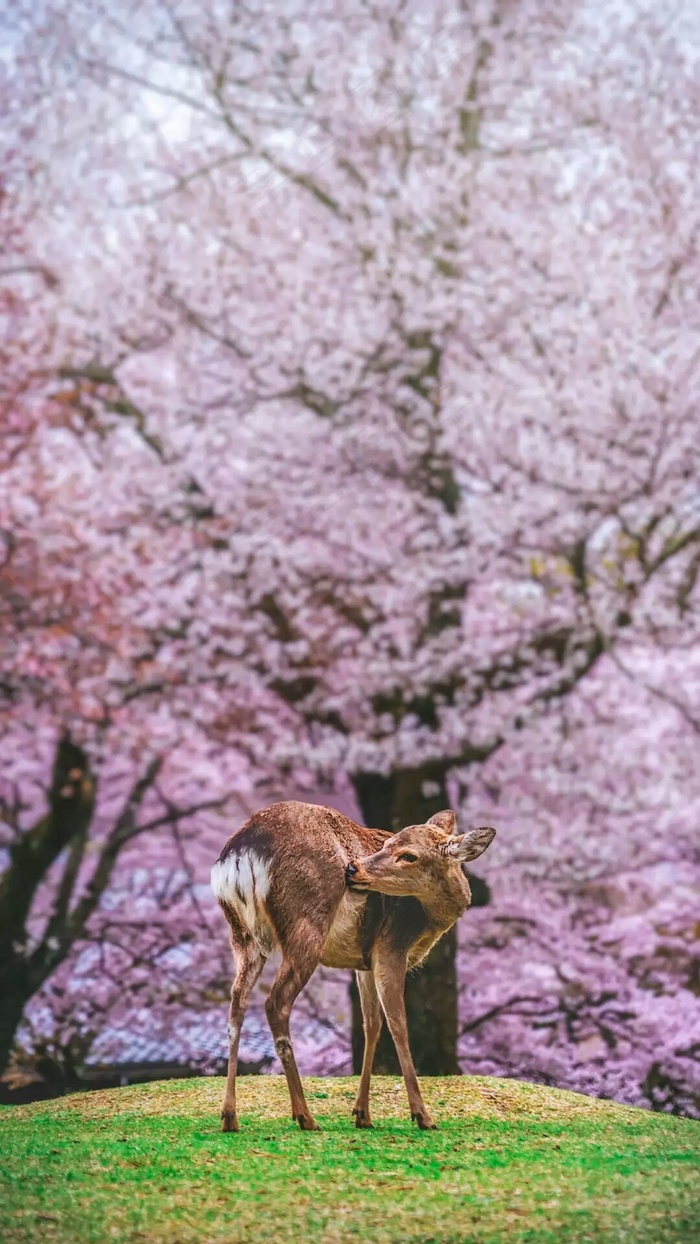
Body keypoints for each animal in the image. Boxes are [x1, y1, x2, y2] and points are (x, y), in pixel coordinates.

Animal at [210, 800, 495, 1133]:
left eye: (408, 854)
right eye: (388, 844)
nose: (353, 868)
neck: (430, 920)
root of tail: (240, 853)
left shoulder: (364, 961)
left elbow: (372, 1025)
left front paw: (362, 1114)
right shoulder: (391, 945)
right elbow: (398, 1024)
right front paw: (422, 1115)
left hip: (242, 935)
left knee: (237, 1003)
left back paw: (230, 1116)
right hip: (307, 924)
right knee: (276, 1002)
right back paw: (305, 1116)